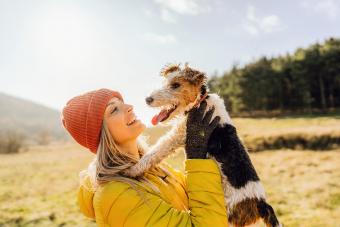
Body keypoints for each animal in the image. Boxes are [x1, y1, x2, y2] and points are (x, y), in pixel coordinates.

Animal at [124, 63, 282, 226]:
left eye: (176, 85)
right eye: (164, 82)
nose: (148, 99)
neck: (200, 102)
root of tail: (261, 202)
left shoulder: (178, 135)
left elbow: (154, 152)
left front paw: (132, 170)